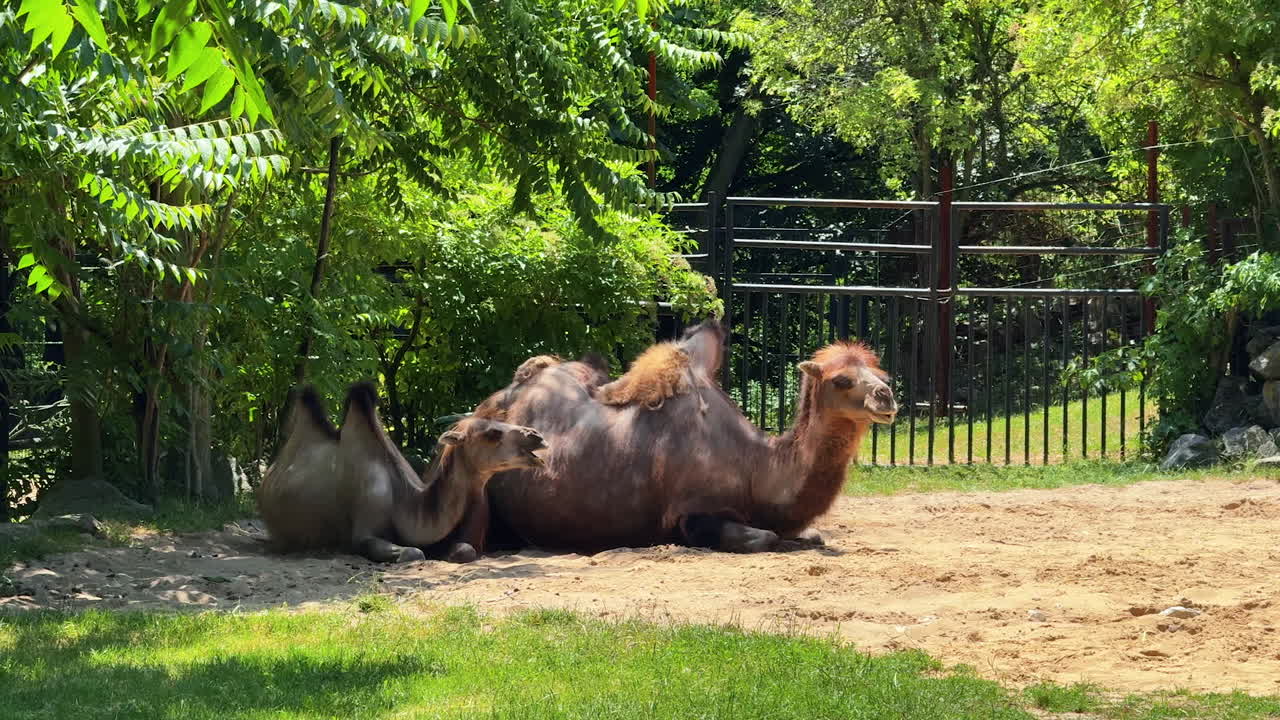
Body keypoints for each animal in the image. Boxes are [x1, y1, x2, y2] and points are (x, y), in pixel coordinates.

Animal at [257, 381, 547, 564]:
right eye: (492, 433)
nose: (537, 436)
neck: (403, 503)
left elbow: (464, 549)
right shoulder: (364, 532)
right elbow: (412, 553)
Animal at [465, 319, 898, 554]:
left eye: (881, 374)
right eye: (842, 380)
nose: (886, 396)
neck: (756, 468)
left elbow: (811, 534)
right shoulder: (692, 513)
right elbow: (764, 538)